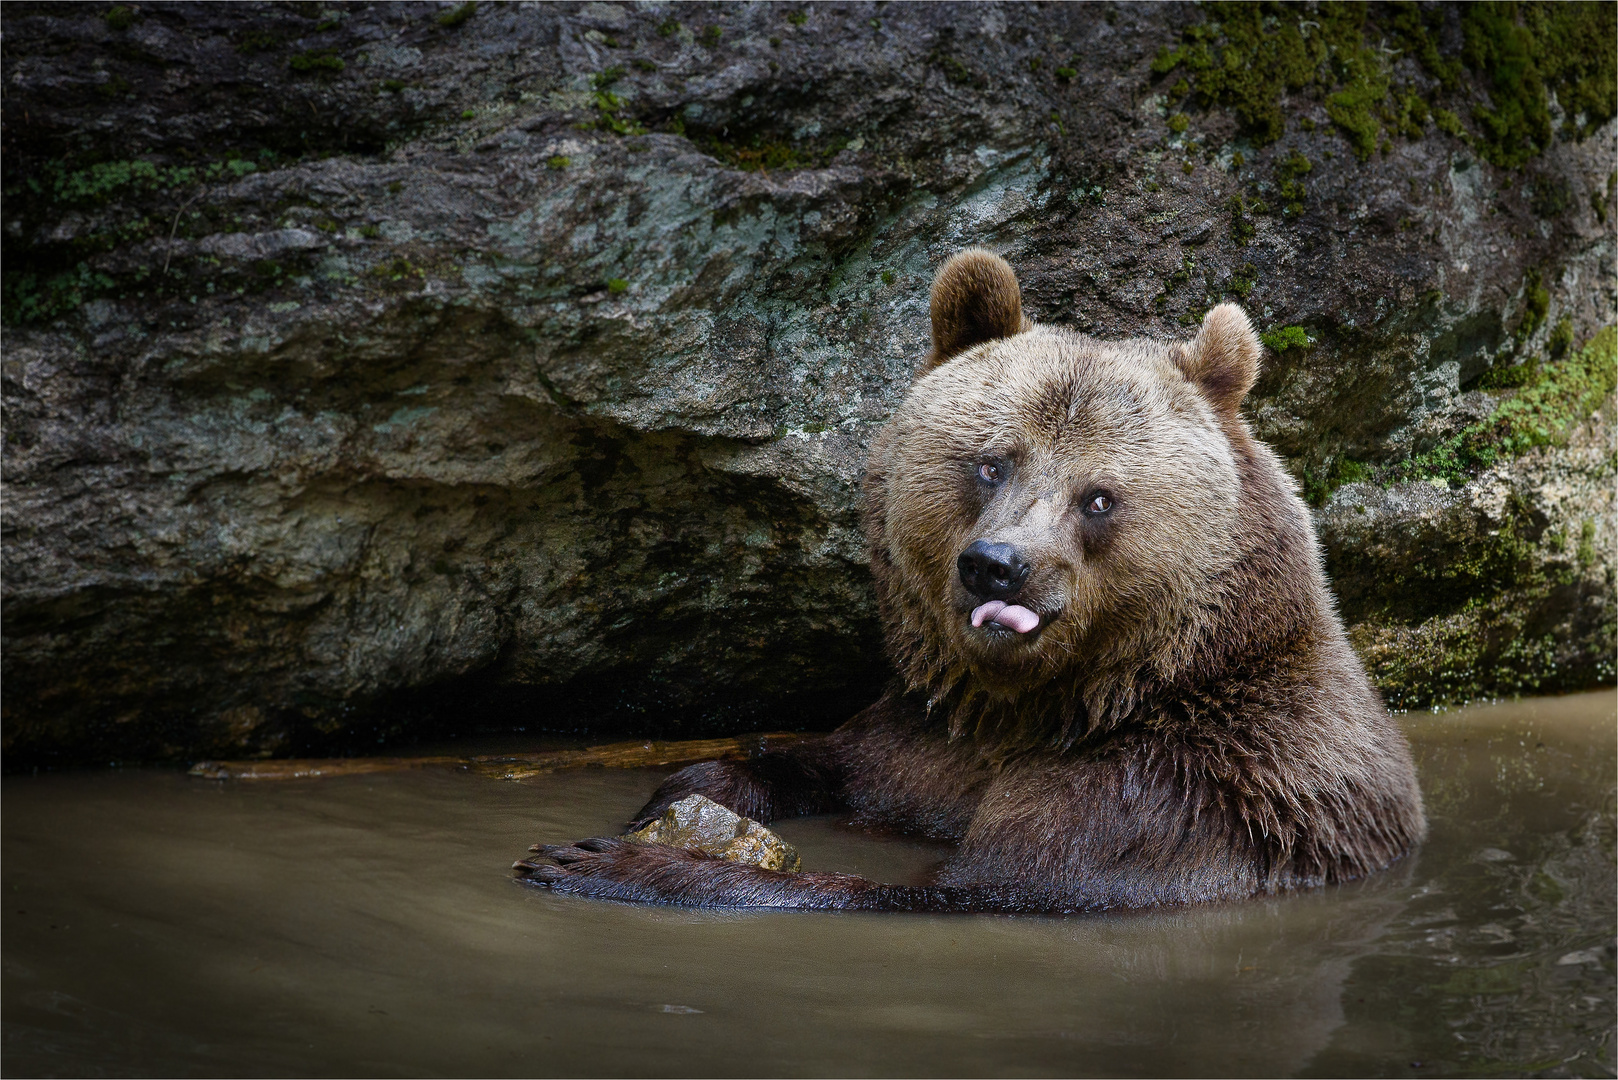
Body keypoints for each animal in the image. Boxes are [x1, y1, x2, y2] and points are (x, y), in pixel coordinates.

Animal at [514, 247, 1430, 913]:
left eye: (1099, 496)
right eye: (992, 462)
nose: (999, 563)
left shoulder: (1173, 798)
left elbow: (960, 888)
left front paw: (601, 861)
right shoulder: (918, 742)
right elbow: (829, 763)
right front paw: (675, 794)